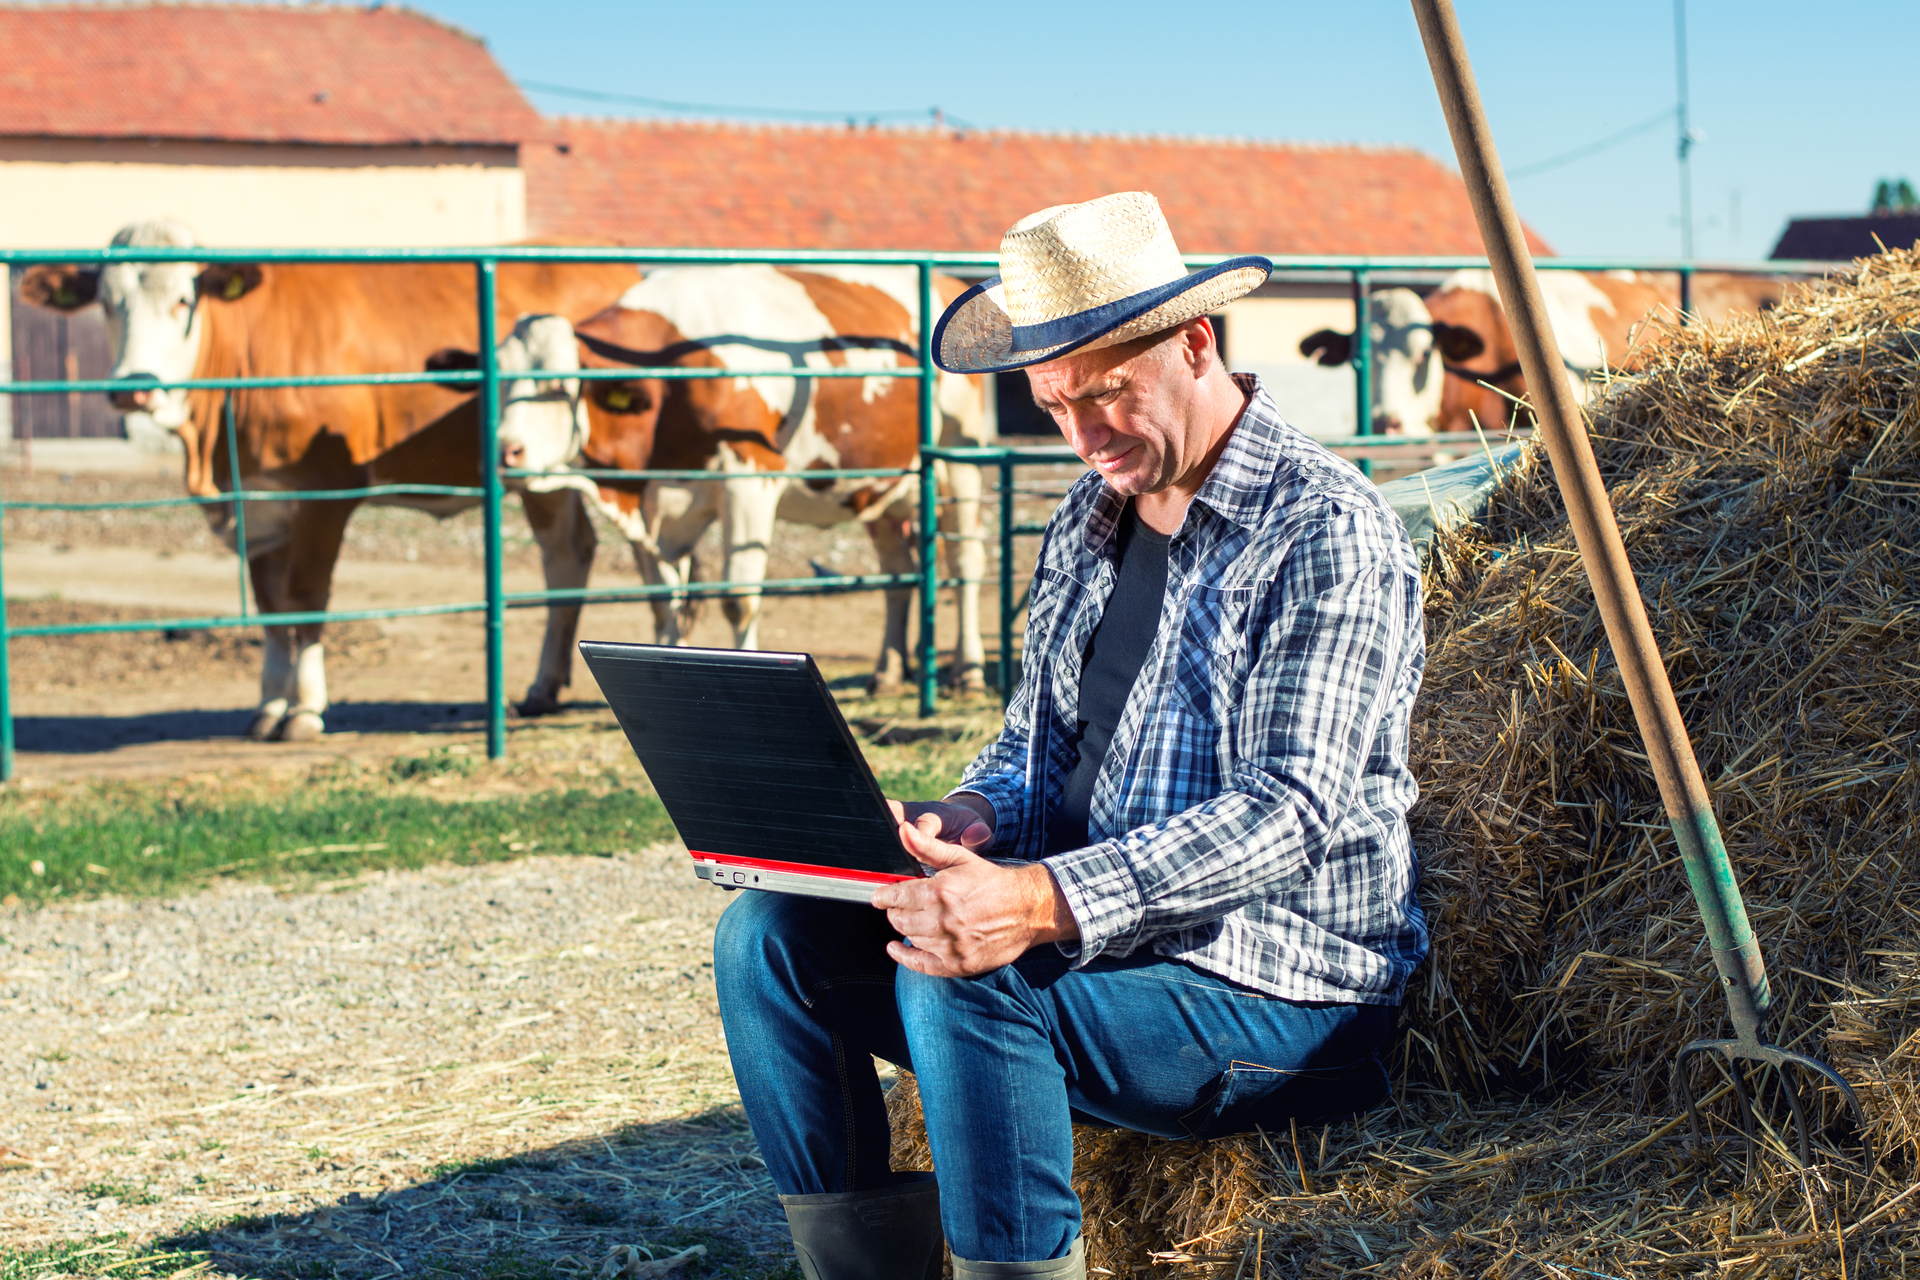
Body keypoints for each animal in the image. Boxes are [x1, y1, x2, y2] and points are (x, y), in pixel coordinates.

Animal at [18, 220, 641, 740]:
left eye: (182, 300)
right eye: (107, 304)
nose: (134, 387)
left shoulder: (324, 491)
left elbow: (306, 596)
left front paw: (305, 709)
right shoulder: (259, 503)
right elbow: (272, 608)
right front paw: (269, 705)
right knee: (568, 553)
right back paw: (544, 687)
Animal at [441, 264, 990, 694]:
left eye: (558, 386)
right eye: (498, 385)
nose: (506, 452)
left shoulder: (750, 480)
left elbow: (738, 600)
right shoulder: (658, 503)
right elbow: (665, 603)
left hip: (959, 461)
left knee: (965, 562)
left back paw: (968, 669)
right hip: (879, 485)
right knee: (898, 571)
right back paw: (889, 670)